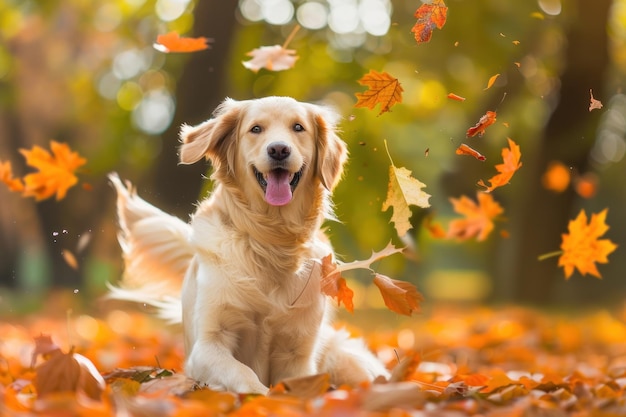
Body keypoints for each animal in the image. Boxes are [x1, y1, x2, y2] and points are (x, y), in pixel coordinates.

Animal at [109, 96, 388, 394]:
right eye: (256, 129)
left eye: (298, 127)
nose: (279, 149)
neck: (271, 240)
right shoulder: (209, 343)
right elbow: (242, 371)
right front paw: (261, 396)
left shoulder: (297, 352)